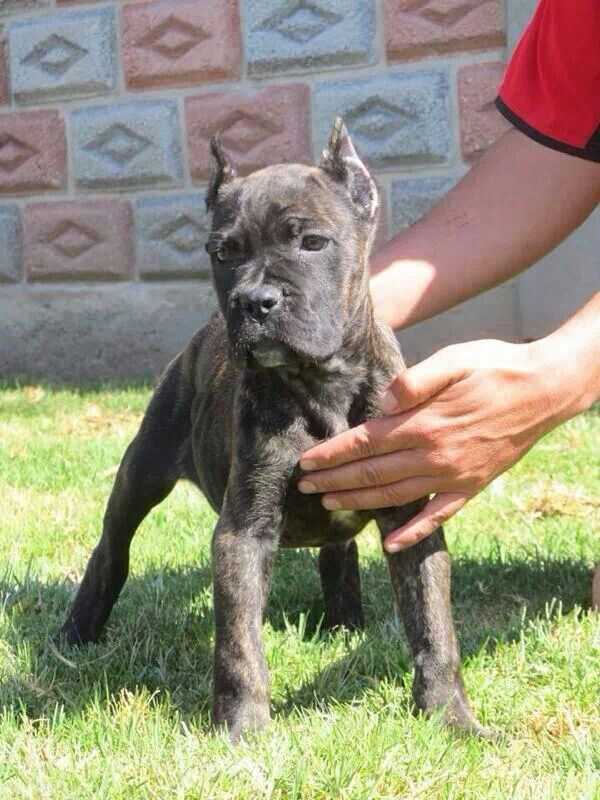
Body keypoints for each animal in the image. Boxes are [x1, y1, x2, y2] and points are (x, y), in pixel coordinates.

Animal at [59, 115, 492, 740]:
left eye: (312, 242)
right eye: (222, 252)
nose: (254, 300)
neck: (322, 380)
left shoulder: (412, 520)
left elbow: (434, 626)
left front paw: (450, 718)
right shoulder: (244, 531)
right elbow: (240, 644)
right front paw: (243, 730)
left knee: (338, 551)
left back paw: (343, 623)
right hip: (141, 470)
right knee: (113, 547)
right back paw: (77, 631)